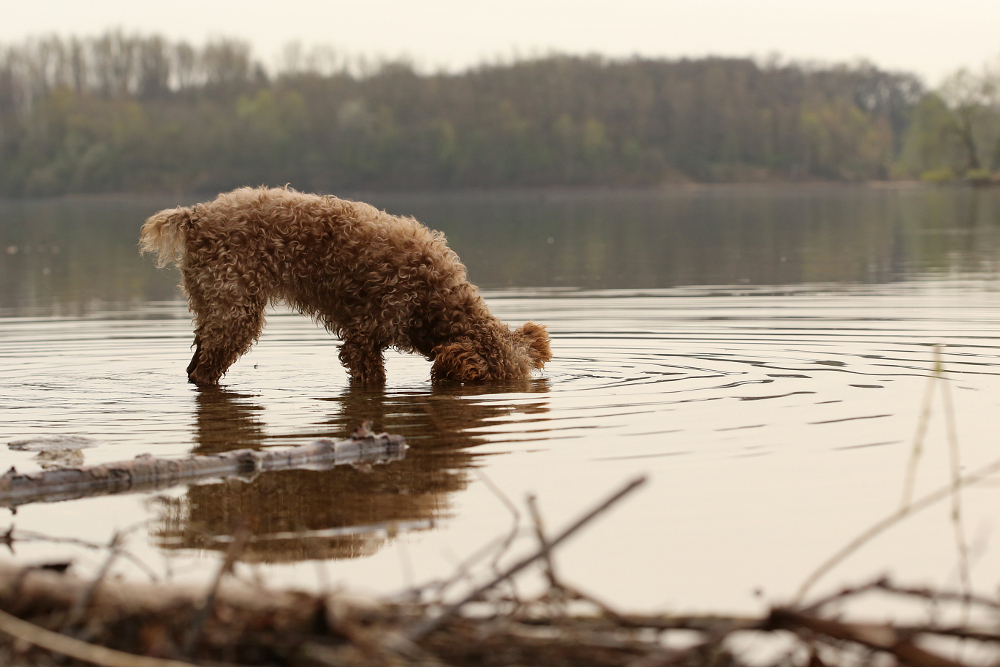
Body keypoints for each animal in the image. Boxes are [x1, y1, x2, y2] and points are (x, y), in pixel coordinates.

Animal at [139, 187, 556, 386]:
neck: (434, 299)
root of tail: (195, 217)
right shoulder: (364, 337)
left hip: (212, 307)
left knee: (194, 366)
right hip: (234, 312)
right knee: (203, 370)